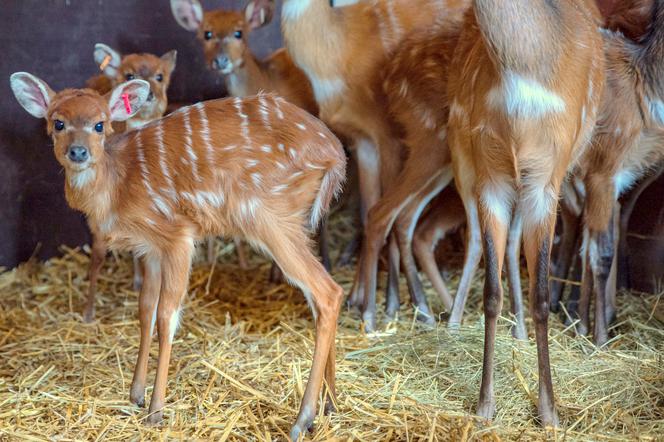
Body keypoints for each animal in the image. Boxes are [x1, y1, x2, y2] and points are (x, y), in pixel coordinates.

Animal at [448, 0, 604, 424]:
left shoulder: (546, 178)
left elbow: (542, 295)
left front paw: (548, 411)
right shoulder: (490, 174)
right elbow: (491, 291)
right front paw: (485, 405)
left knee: (516, 242)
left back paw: (519, 331)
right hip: (460, 152)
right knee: (478, 240)